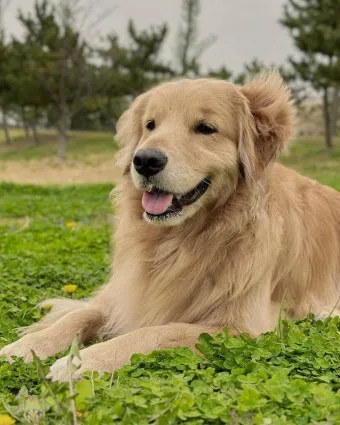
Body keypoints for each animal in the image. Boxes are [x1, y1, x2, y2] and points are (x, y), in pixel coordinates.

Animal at [0, 70, 340, 380]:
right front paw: (25, 346)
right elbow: (78, 315)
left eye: (206, 128)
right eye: (150, 125)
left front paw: (83, 361)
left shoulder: (241, 326)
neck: (182, 239)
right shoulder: (124, 291)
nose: (145, 160)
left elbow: (155, 331)